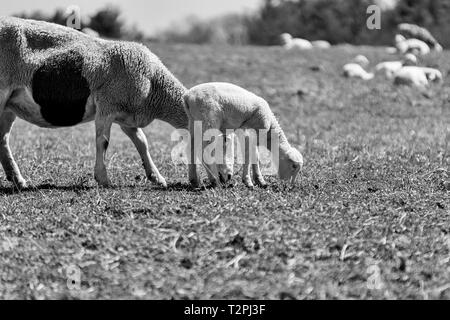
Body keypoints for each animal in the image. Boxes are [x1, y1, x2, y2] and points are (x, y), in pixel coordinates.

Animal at [0, 16, 188, 188]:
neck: (154, 84)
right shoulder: (107, 105)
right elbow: (103, 141)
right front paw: (103, 179)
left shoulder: (127, 115)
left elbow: (142, 142)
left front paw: (156, 177)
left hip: (9, 106)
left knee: (3, 139)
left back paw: (18, 180)